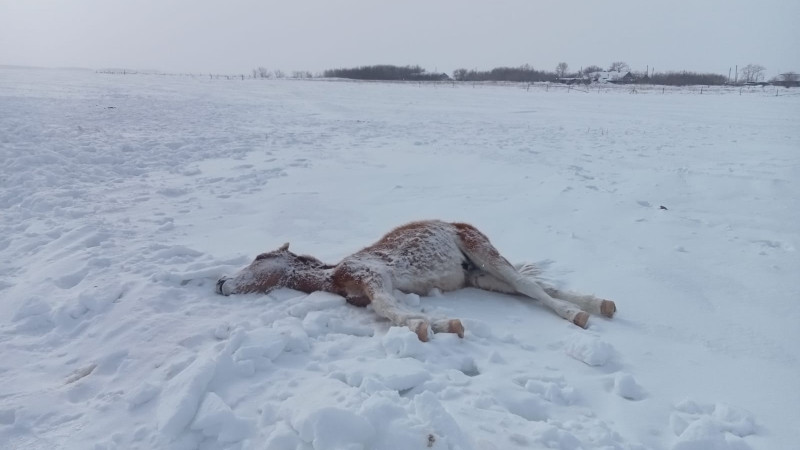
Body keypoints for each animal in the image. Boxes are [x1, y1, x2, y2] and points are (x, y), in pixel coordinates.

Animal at [216, 219, 616, 342]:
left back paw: (579, 315)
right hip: (481, 277)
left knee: (529, 286)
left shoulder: (374, 277)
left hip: (484, 252)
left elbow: (388, 309)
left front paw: (426, 327)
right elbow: (389, 309)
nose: (220, 283)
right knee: (528, 286)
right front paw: (444, 325)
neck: (335, 277)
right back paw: (600, 304)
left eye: (258, 259)